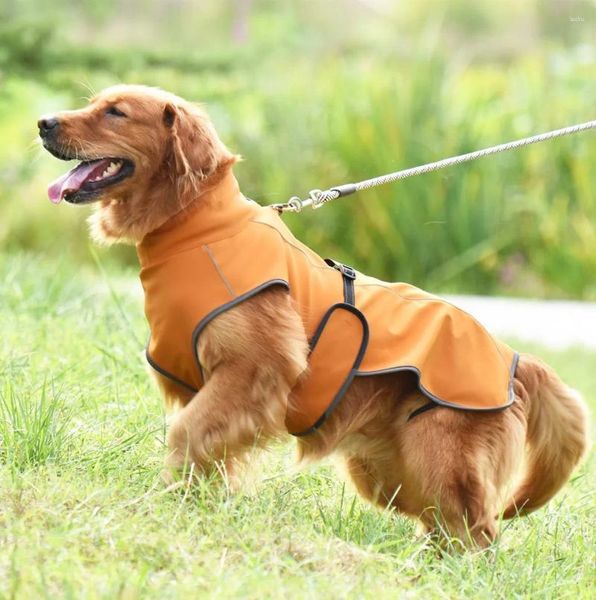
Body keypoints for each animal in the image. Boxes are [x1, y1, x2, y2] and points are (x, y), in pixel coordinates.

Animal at [39, 84, 588, 548]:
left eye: (115, 112)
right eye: (95, 102)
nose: (43, 122)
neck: (195, 227)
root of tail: (514, 358)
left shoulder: (253, 372)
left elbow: (185, 435)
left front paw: (164, 504)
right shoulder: (210, 390)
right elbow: (206, 453)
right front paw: (197, 505)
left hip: (443, 456)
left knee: (478, 532)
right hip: (390, 471)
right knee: (446, 527)